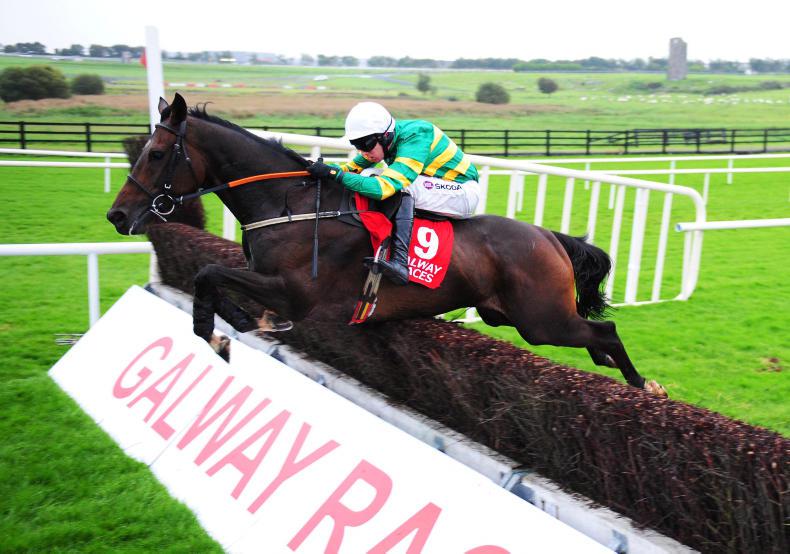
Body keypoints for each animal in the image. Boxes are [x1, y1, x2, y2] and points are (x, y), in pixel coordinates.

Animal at [107, 93, 666, 396]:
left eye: (156, 153)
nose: (117, 215)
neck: (290, 203)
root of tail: (548, 236)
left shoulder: (297, 293)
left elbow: (208, 274)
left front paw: (221, 331)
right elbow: (210, 275)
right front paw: (236, 324)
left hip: (541, 320)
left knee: (604, 331)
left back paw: (646, 385)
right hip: (514, 315)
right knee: (595, 341)